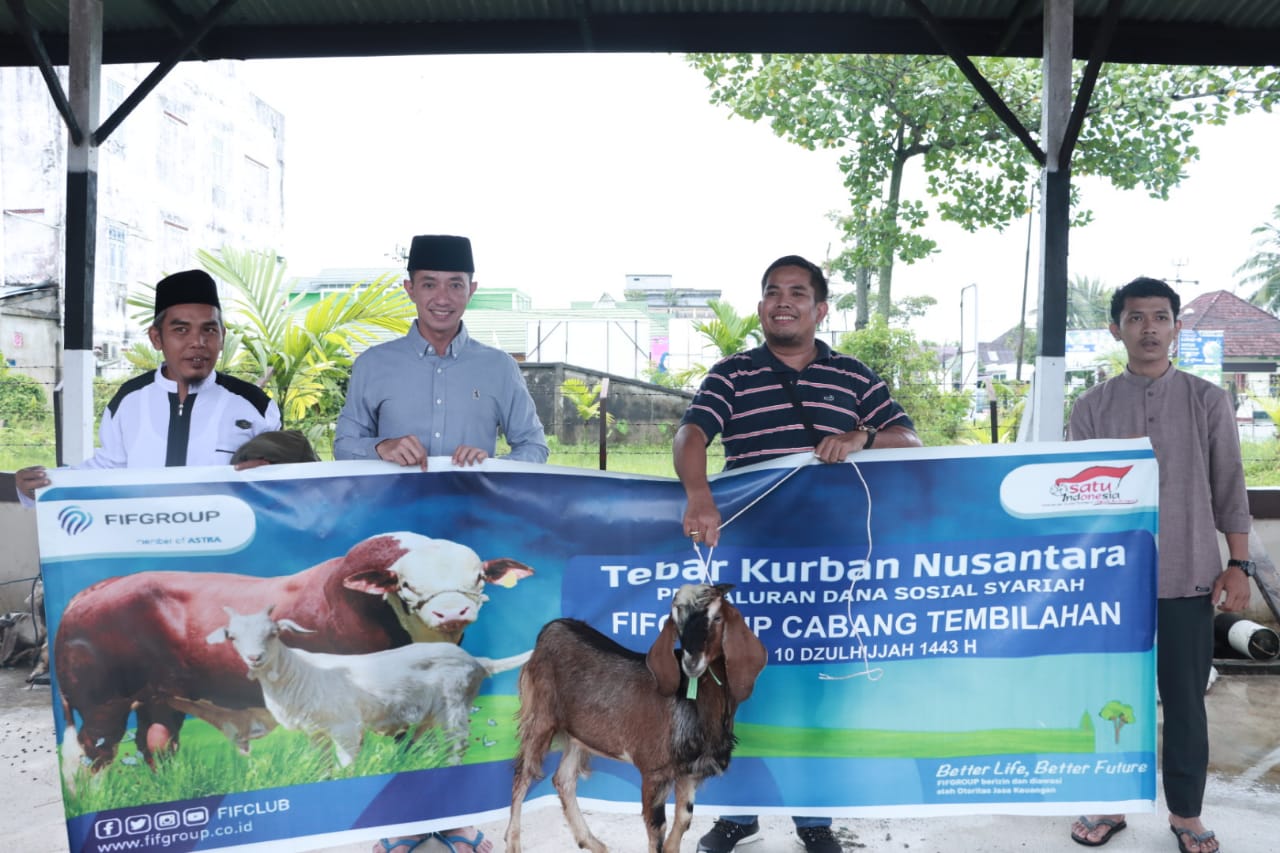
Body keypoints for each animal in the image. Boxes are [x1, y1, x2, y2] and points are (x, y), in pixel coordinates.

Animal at [504, 581, 762, 850]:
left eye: (718, 617)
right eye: (676, 619)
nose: (691, 662)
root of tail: (551, 628)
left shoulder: (688, 772)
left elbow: (683, 819)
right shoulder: (654, 771)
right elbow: (657, 829)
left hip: (578, 732)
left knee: (562, 779)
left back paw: (593, 843)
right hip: (541, 717)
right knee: (522, 775)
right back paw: (513, 843)